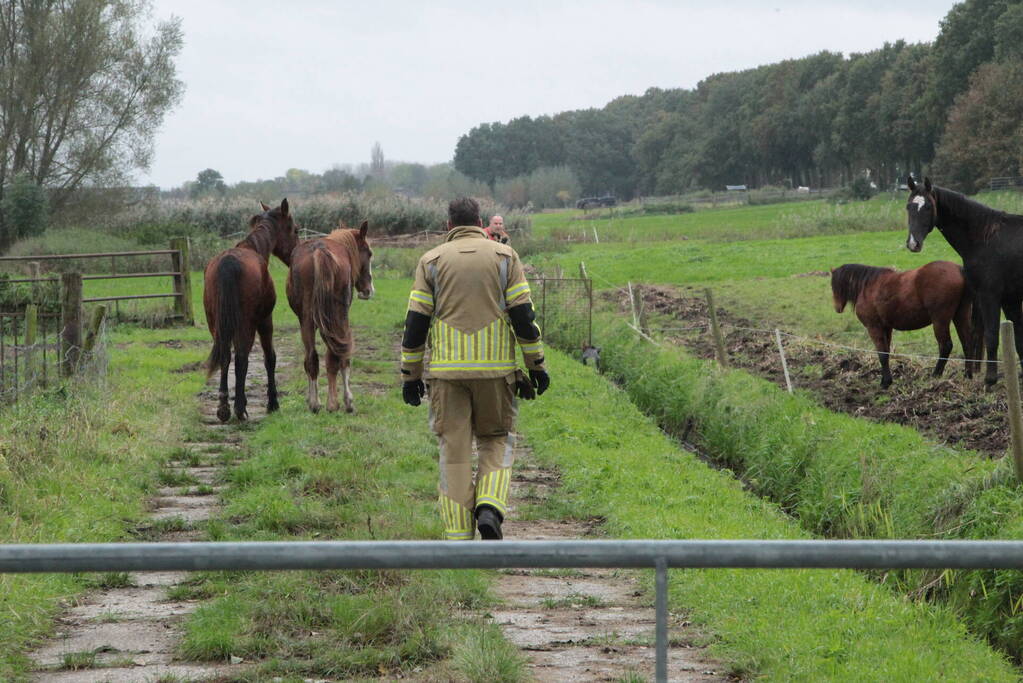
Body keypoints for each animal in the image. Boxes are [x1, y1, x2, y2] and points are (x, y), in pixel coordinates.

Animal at [203, 199, 299, 422]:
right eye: (295, 230)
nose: (296, 253)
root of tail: (228, 263)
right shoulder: (265, 321)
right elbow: (269, 358)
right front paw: (273, 403)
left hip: (216, 324)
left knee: (226, 356)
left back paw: (224, 407)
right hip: (246, 324)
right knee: (241, 357)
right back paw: (239, 409)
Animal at [286, 220, 374, 413]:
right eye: (369, 253)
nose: (368, 290)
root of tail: (319, 250)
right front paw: (346, 401)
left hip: (307, 321)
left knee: (312, 358)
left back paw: (315, 403)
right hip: (337, 319)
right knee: (337, 356)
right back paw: (335, 403)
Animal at [830, 261, 979, 388]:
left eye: (833, 285)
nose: (837, 308)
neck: (868, 287)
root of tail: (959, 270)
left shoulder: (874, 327)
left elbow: (882, 354)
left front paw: (885, 383)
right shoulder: (886, 328)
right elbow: (886, 352)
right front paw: (886, 380)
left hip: (940, 320)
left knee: (946, 346)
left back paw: (935, 375)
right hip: (960, 315)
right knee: (967, 343)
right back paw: (967, 375)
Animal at [905, 176, 1020, 385]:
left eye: (928, 207)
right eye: (909, 206)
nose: (913, 243)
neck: (985, 238)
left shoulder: (990, 295)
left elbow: (991, 335)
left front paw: (990, 379)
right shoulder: (1011, 298)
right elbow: (1019, 337)